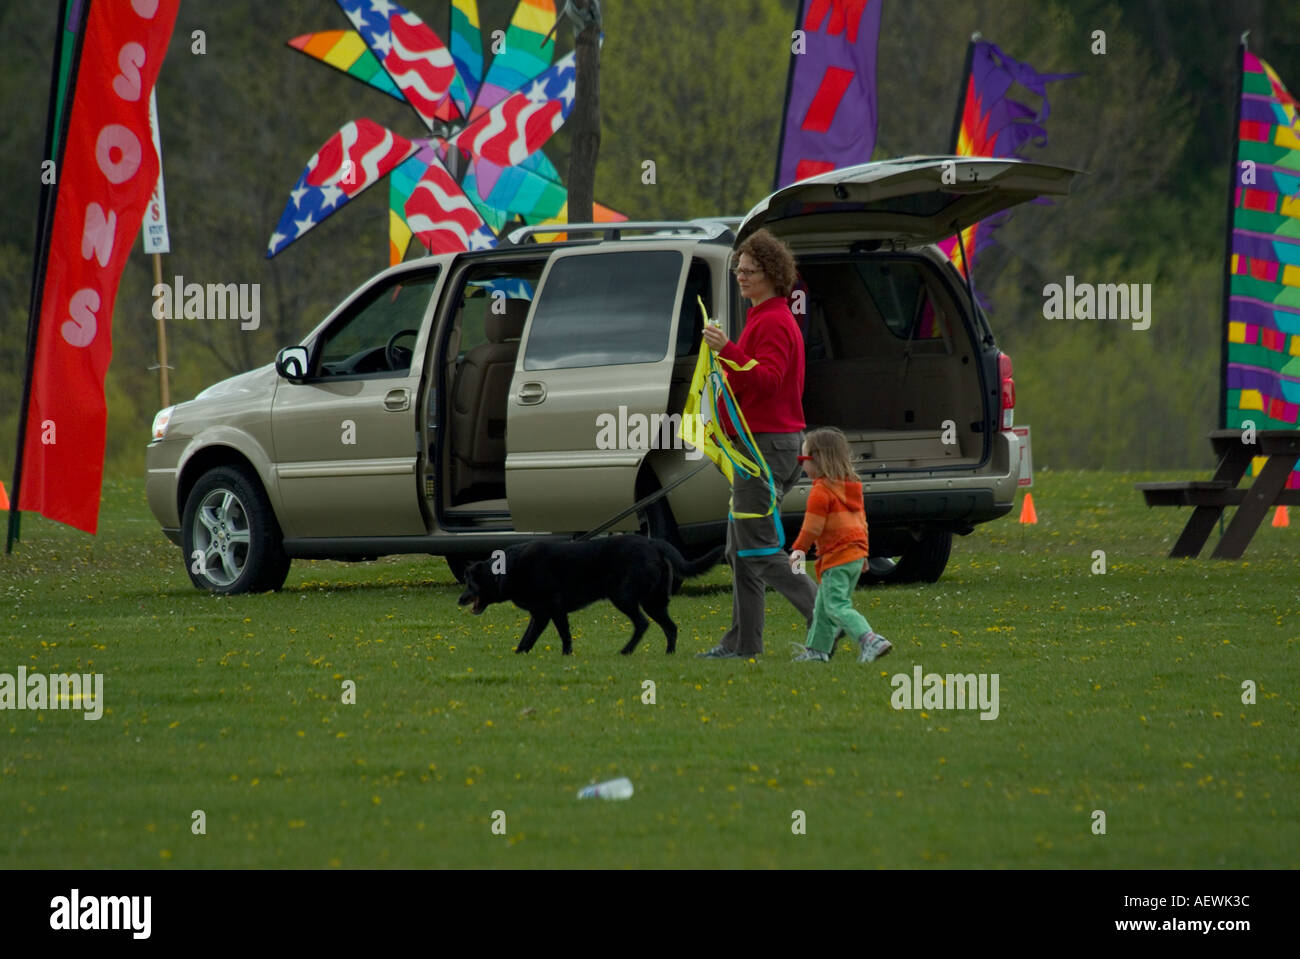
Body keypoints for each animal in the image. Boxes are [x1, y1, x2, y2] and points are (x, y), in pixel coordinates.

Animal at [457, 535, 728, 654]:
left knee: (642, 624)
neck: (508, 569)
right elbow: (527, 638)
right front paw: (519, 655)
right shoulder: (540, 614)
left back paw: (626, 651)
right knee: (670, 627)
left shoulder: (555, 609)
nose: (459, 600)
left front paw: (567, 656)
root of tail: (654, 543)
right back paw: (668, 654)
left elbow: (564, 635)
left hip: (625, 598)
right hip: (654, 602)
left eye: (470, 583)